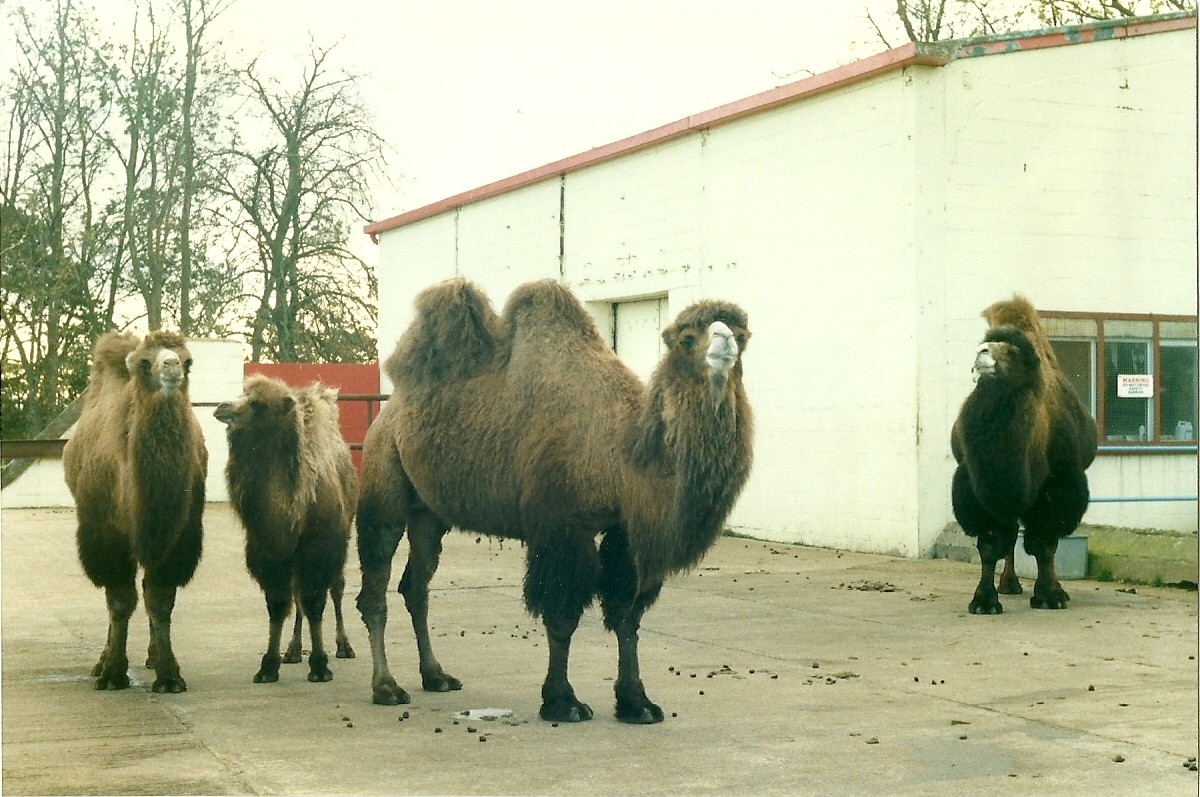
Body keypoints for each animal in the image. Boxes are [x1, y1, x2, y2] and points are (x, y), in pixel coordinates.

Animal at [64, 331, 207, 693]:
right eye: (145, 362)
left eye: (188, 361)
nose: (171, 366)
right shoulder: (106, 537)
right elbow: (119, 601)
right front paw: (112, 672)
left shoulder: (177, 539)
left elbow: (159, 600)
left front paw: (169, 675)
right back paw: (102, 661)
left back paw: (153, 656)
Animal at [215, 375, 356, 683]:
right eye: (243, 394)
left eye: (258, 405)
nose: (222, 408)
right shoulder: (269, 554)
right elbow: (278, 605)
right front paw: (269, 665)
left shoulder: (319, 550)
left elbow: (315, 603)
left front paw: (320, 665)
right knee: (297, 595)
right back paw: (292, 650)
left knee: (336, 588)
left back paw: (344, 646)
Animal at [356, 277, 753, 724]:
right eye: (687, 339)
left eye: (742, 336)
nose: (724, 344)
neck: (622, 452)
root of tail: (387, 412)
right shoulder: (561, 525)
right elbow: (561, 616)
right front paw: (562, 701)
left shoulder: (625, 533)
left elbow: (626, 617)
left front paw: (637, 702)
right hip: (382, 481)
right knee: (375, 586)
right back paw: (387, 686)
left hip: (429, 513)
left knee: (416, 586)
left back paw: (436, 675)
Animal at [951, 295, 1097, 614]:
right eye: (987, 343)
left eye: (1012, 351)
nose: (982, 352)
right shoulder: (978, 489)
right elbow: (991, 545)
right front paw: (984, 601)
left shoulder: (1057, 487)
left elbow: (1044, 545)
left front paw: (1049, 596)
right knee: (1010, 540)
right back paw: (1009, 584)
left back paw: (1056, 589)